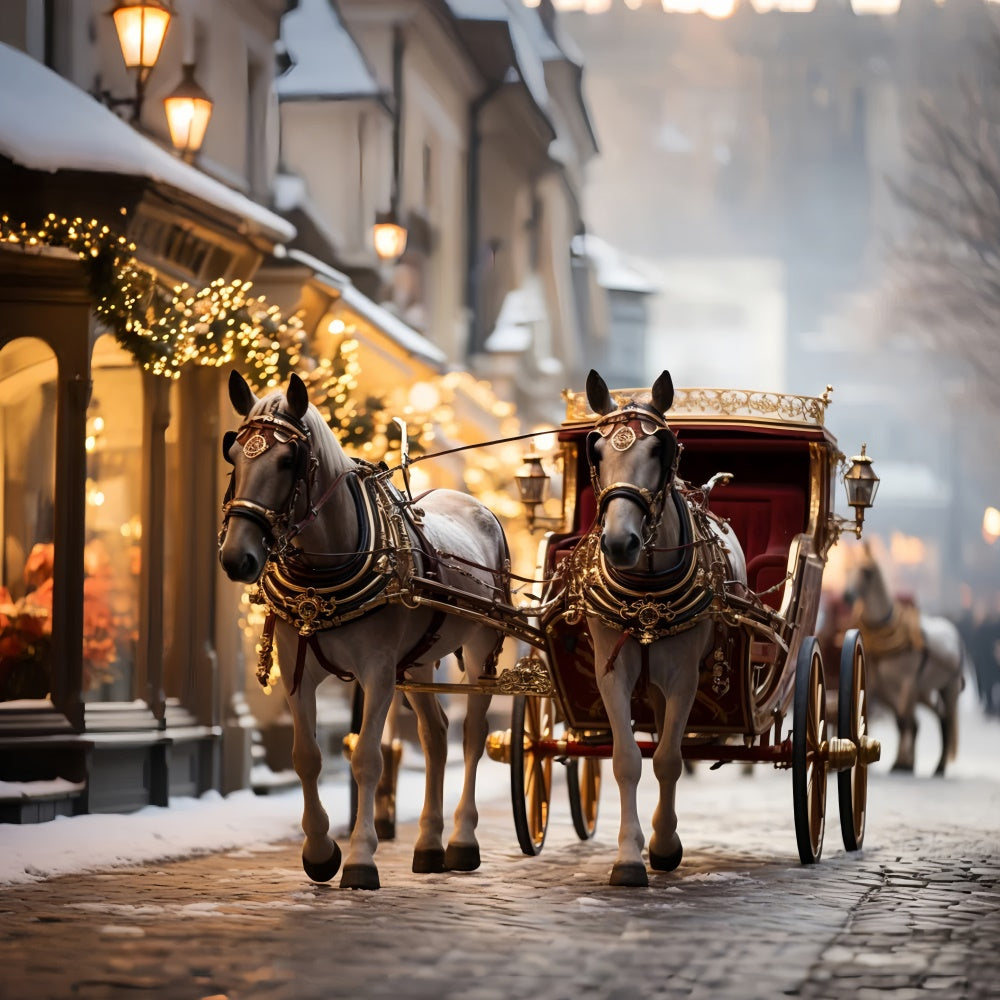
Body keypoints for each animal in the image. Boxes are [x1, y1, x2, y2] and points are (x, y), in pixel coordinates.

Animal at [215, 372, 504, 888]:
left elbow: (367, 758)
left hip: (479, 648)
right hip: (420, 659)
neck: (324, 573)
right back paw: (428, 845)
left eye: (287, 460)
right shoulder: (297, 671)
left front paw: (360, 858)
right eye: (233, 453)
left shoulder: (377, 672)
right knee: (435, 735)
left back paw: (461, 840)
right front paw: (319, 851)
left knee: (471, 736)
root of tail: (477, 505)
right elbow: (306, 756)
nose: (237, 557)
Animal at [584, 372, 748, 888]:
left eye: (661, 448)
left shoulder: (684, 676)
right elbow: (627, 760)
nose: (621, 543)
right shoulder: (611, 672)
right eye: (596, 450)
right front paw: (628, 858)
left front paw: (663, 844)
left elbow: (669, 760)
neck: (646, 595)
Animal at [848, 548, 964, 772]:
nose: (846, 595)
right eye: (851, 567)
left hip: (949, 688)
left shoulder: (907, 683)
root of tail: (954, 633)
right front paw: (901, 762)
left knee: (946, 717)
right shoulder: (881, 687)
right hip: (922, 692)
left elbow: (903, 721)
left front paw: (901, 763)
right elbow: (900, 722)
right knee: (936, 717)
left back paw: (940, 766)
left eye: (867, 572)